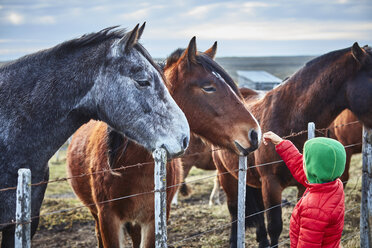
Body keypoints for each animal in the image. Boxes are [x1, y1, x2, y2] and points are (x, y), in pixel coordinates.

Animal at [212, 43, 372, 247]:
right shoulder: (271, 184)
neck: (291, 117)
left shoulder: (303, 185)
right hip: (226, 175)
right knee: (234, 210)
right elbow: (275, 226)